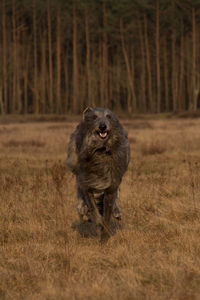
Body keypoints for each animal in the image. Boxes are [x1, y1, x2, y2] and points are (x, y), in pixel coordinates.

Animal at [66, 106, 130, 240]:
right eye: (94, 117)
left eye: (108, 116)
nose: (102, 126)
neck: (100, 150)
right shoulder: (87, 182)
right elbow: (92, 207)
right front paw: (98, 224)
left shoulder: (112, 182)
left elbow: (108, 208)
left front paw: (105, 235)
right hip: (74, 162)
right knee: (79, 188)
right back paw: (82, 209)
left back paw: (116, 212)